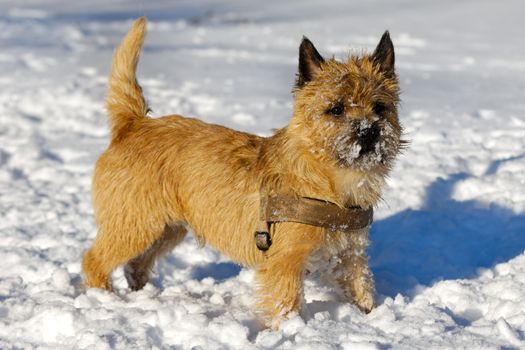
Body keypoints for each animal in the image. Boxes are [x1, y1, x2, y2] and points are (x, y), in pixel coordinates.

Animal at [83, 16, 402, 326]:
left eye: (379, 107)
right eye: (336, 109)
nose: (369, 131)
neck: (331, 182)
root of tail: (133, 123)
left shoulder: (350, 254)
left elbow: (361, 287)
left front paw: (369, 316)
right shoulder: (285, 261)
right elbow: (285, 304)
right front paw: (289, 331)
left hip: (167, 229)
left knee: (136, 264)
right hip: (135, 224)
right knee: (94, 259)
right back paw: (104, 296)